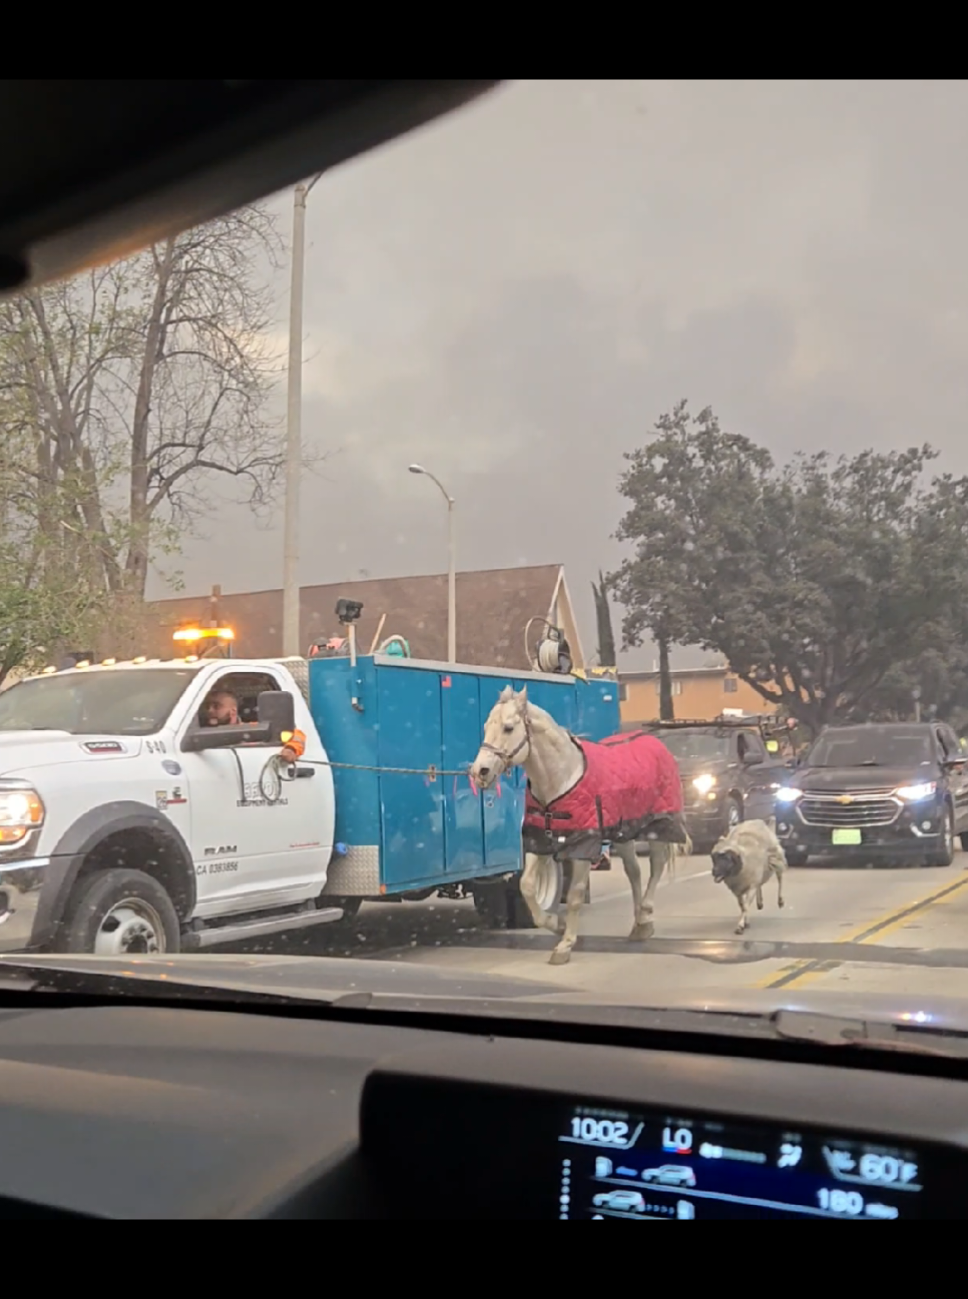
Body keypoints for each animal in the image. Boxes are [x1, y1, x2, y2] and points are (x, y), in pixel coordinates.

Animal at [470, 691, 686, 966]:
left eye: (508, 727)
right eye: (486, 726)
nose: (479, 771)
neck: (560, 778)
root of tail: (655, 742)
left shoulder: (583, 845)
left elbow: (574, 895)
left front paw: (565, 945)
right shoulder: (540, 842)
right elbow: (527, 886)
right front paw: (556, 924)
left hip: (656, 826)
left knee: (656, 866)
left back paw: (646, 916)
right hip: (622, 833)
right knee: (634, 871)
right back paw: (639, 924)